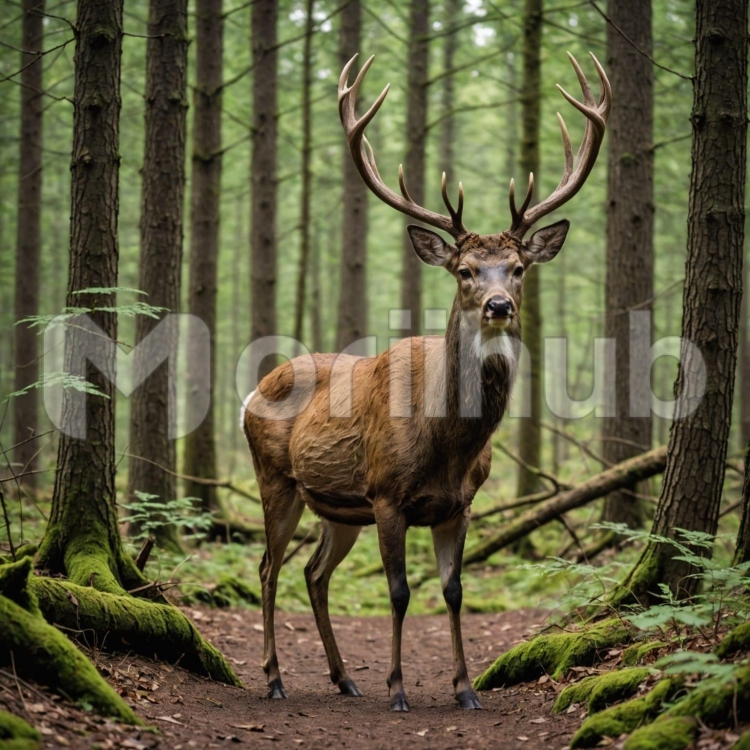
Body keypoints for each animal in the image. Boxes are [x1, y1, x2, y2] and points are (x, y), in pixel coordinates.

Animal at [241, 51, 610, 712]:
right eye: (464, 270)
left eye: (518, 267)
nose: (497, 305)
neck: (447, 444)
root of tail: (253, 390)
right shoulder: (387, 495)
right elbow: (399, 591)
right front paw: (398, 689)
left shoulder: (459, 504)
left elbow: (454, 591)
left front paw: (466, 689)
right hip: (276, 478)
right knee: (267, 567)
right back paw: (277, 678)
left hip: (339, 508)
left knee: (313, 572)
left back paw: (344, 678)